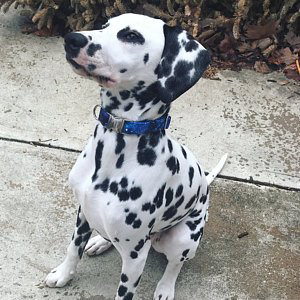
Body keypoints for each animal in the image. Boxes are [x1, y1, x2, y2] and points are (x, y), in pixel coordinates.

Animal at [44, 12, 226, 298]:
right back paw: (99, 242)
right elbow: (74, 248)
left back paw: (165, 288)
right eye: (104, 26)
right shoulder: (83, 212)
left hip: (183, 238)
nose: (72, 39)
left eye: (131, 36)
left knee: (176, 264)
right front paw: (63, 274)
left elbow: (125, 291)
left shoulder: (135, 256)